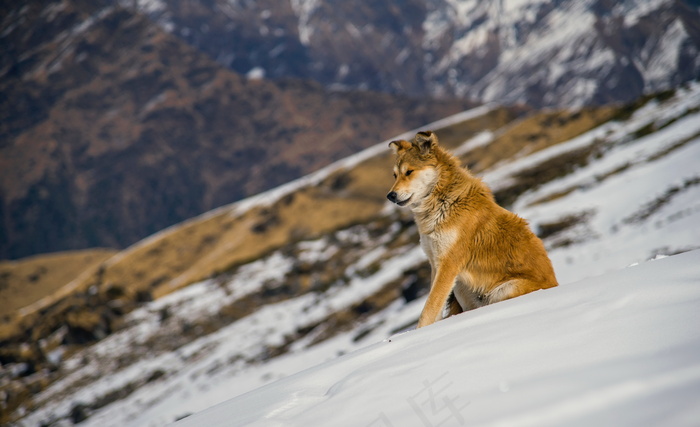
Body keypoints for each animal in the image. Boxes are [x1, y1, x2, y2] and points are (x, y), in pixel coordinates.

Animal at [388, 132, 556, 330]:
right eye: (395, 175)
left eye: (409, 172)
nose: (390, 196)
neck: (444, 202)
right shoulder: (435, 263)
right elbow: (435, 307)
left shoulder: (448, 264)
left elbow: (429, 309)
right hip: (462, 286)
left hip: (503, 289)